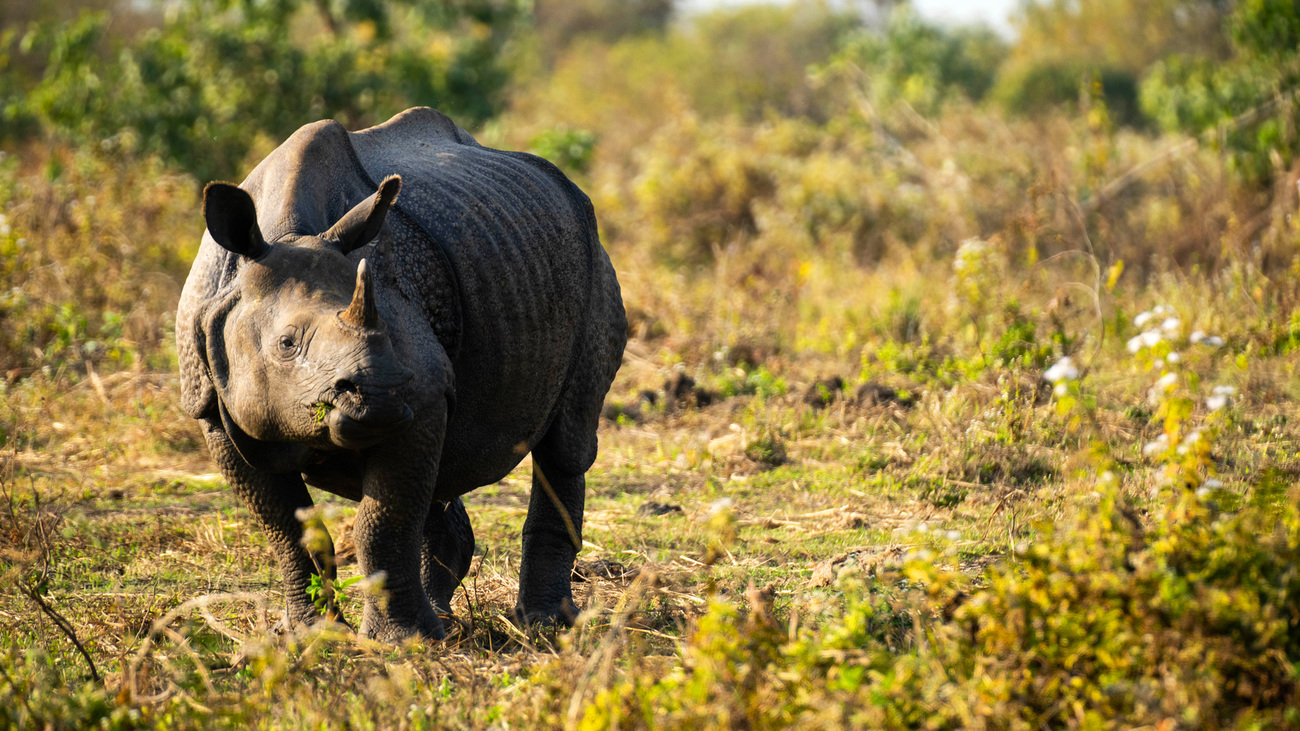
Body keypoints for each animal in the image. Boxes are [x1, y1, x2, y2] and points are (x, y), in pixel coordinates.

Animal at [179, 105, 629, 639]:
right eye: (287, 345)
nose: (380, 395)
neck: (287, 234)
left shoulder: (426, 390)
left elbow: (381, 522)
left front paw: (402, 643)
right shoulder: (210, 400)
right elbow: (288, 528)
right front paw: (312, 636)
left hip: (591, 257)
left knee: (566, 442)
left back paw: (544, 627)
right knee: (440, 479)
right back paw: (449, 623)